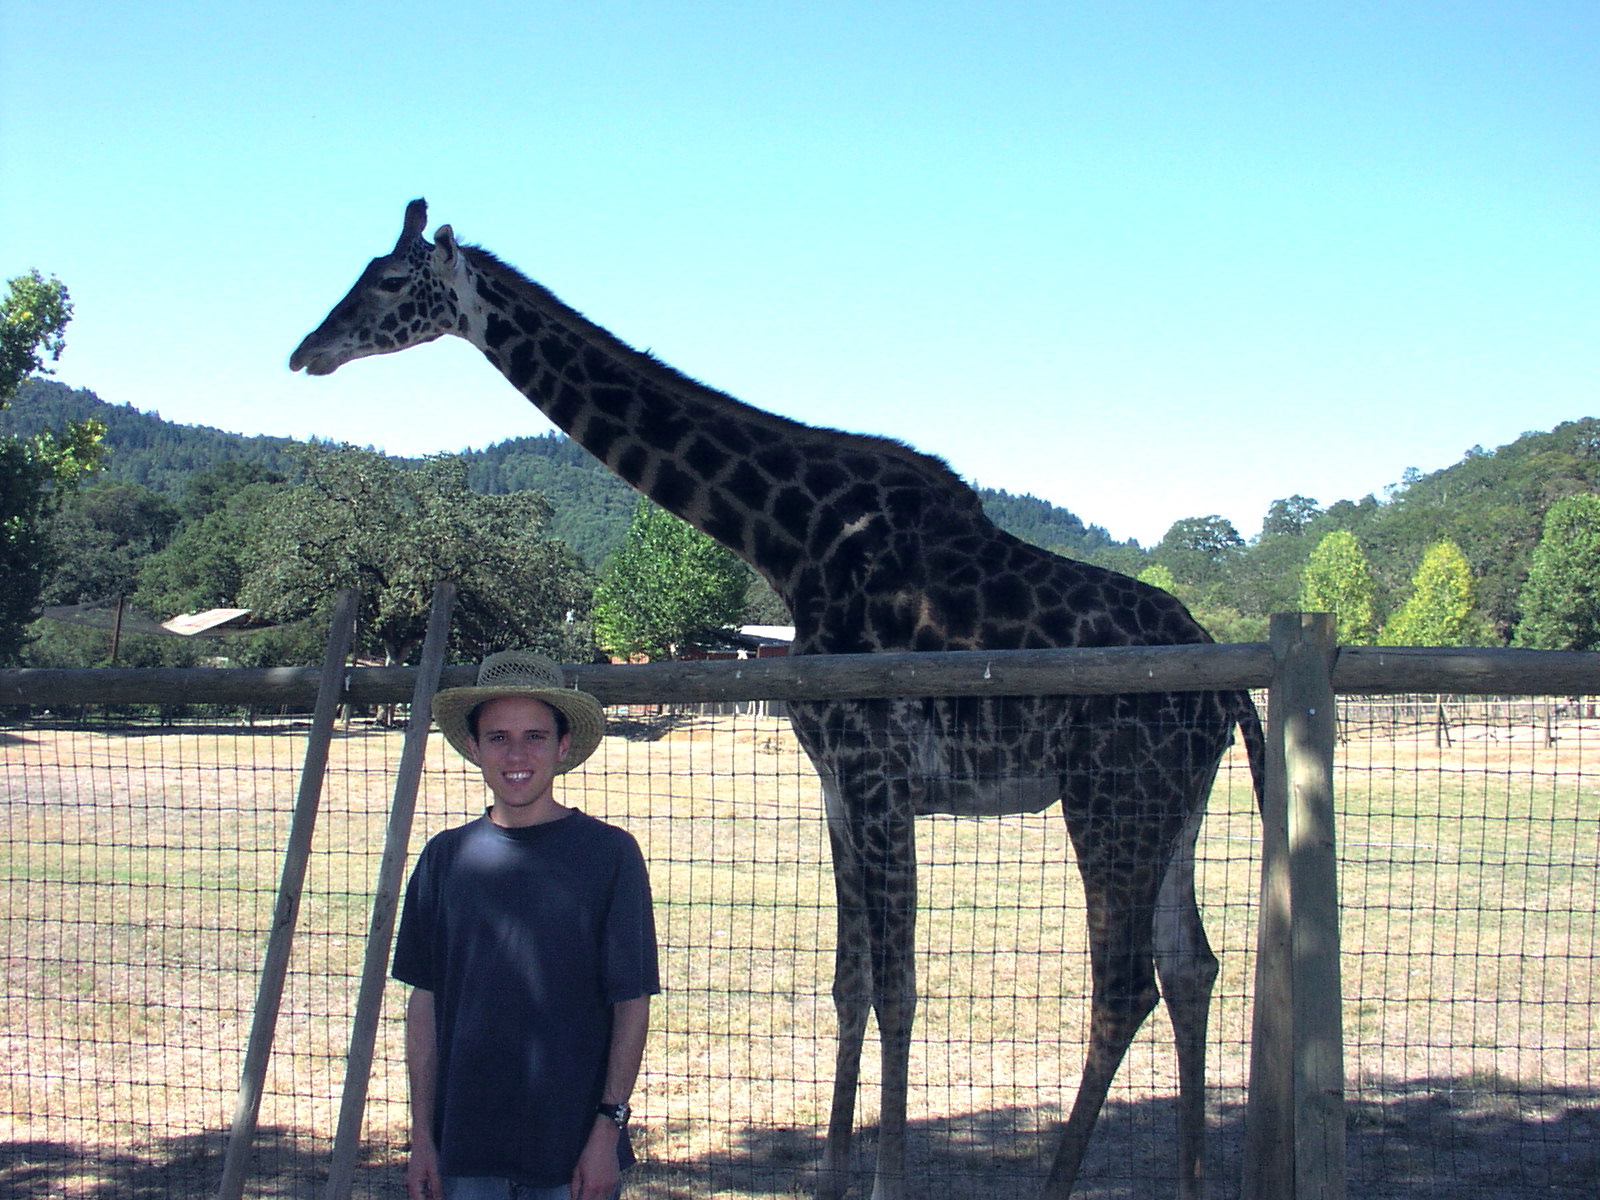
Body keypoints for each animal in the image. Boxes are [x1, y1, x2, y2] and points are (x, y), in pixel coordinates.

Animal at [291, 200, 1260, 1200]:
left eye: (391, 282)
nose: (306, 351)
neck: (792, 539)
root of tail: (1226, 686)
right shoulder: (839, 784)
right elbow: (851, 983)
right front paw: (832, 1176)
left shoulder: (879, 775)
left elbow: (899, 989)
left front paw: (886, 1181)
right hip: (1172, 804)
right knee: (1192, 967)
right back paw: (1193, 1178)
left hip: (1109, 798)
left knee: (1125, 985)